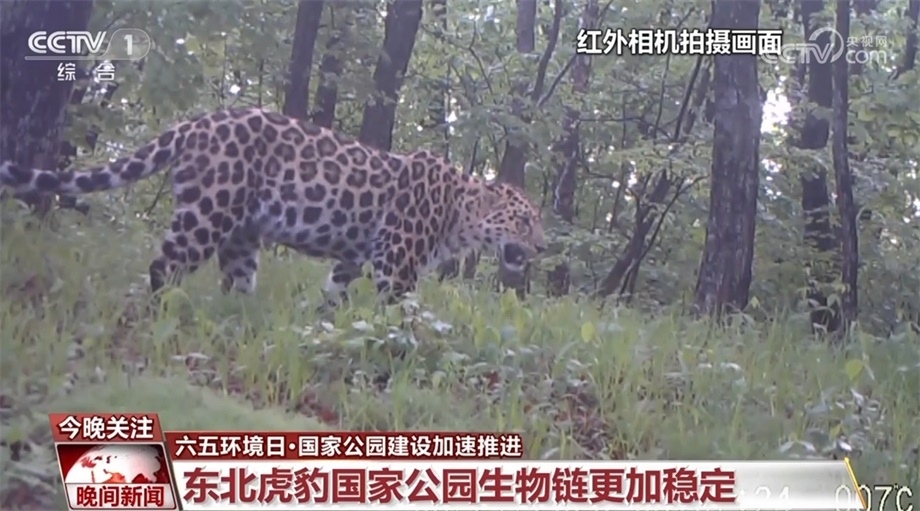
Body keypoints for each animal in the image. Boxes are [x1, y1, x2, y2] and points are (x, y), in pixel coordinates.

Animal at [0, 107, 546, 306]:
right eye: (524, 220)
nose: (542, 248)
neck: (460, 215)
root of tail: (196, 122)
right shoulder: (397, 266)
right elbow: (403, 316)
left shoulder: (354, 260)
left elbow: (334, 297)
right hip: (207, 213)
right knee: (163, 266)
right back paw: (158, 313)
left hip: (241, 235)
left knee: (235, 284)